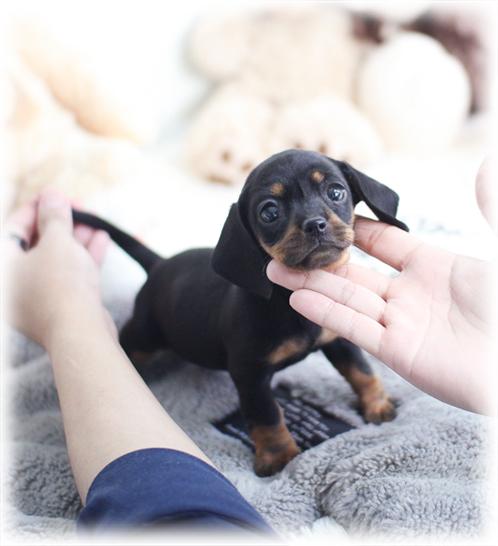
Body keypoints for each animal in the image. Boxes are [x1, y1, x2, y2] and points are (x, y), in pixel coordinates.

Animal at [73, 149, 408, 476]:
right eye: (269, 212)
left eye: (336, 192)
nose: (315, 224)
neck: (288, 301)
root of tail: (159, 264)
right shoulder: (250, 374)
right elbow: (267, 416)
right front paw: (278, 455)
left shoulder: (337, 340)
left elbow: (362, 373)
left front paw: (377, 405)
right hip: (144, 334)